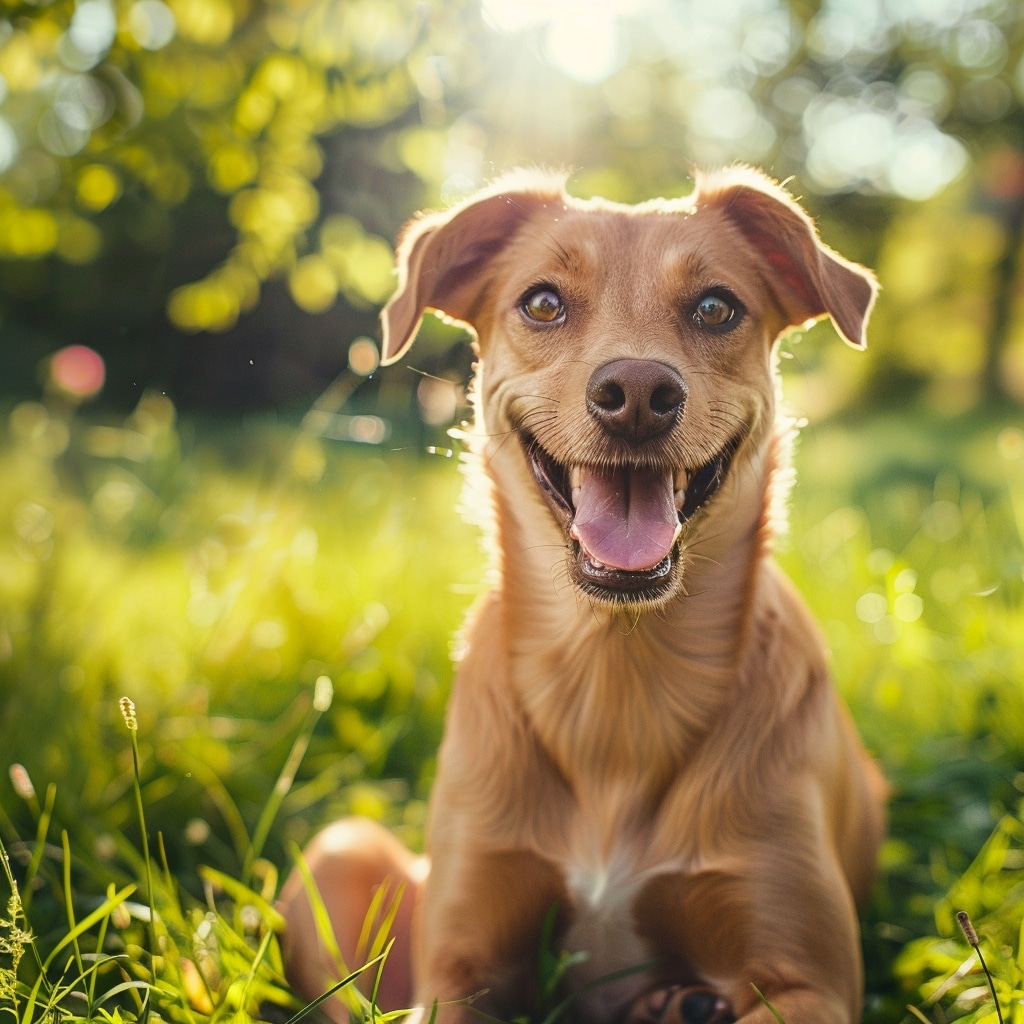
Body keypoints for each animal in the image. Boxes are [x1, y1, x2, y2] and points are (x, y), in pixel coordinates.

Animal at [280, 167, 888, 1024]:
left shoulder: (807, 979)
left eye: (716, 307)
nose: (636, 390)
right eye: (542, 302)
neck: (616, 678)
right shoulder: (457, 968)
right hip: (338, 854)